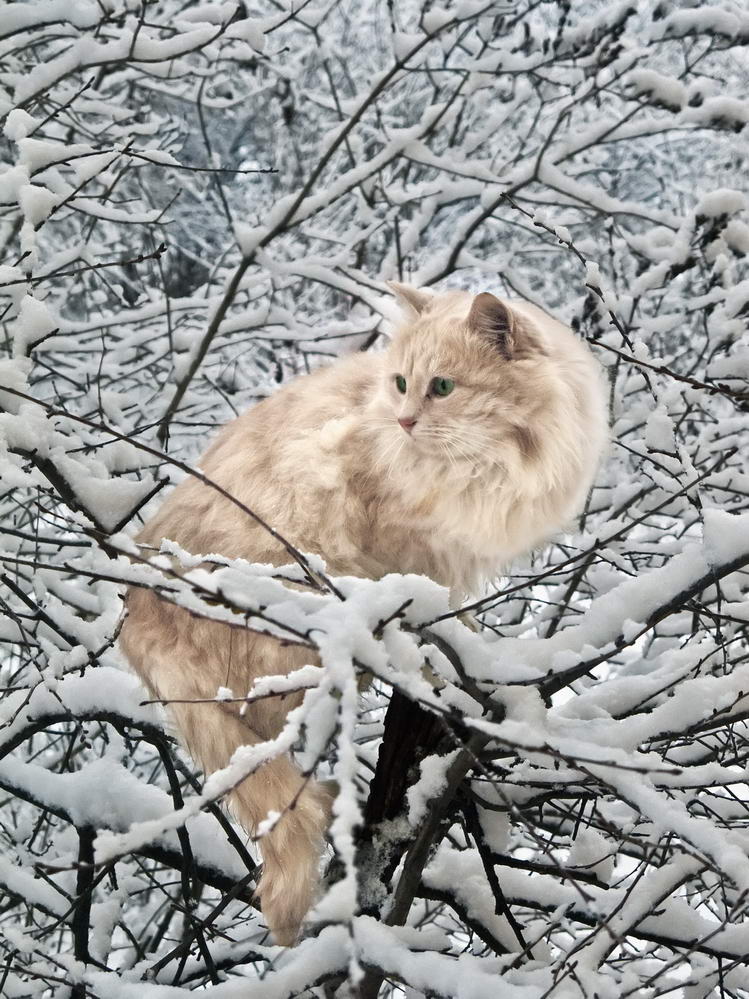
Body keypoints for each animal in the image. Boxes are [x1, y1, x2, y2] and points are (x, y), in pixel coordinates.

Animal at [117, 284, 608, 944]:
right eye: (401, 383)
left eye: (442, 387)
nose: (404, 421)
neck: (495, 463)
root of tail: (139, 600)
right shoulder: (421, 555)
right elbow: (440, 620)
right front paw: (450, 666)